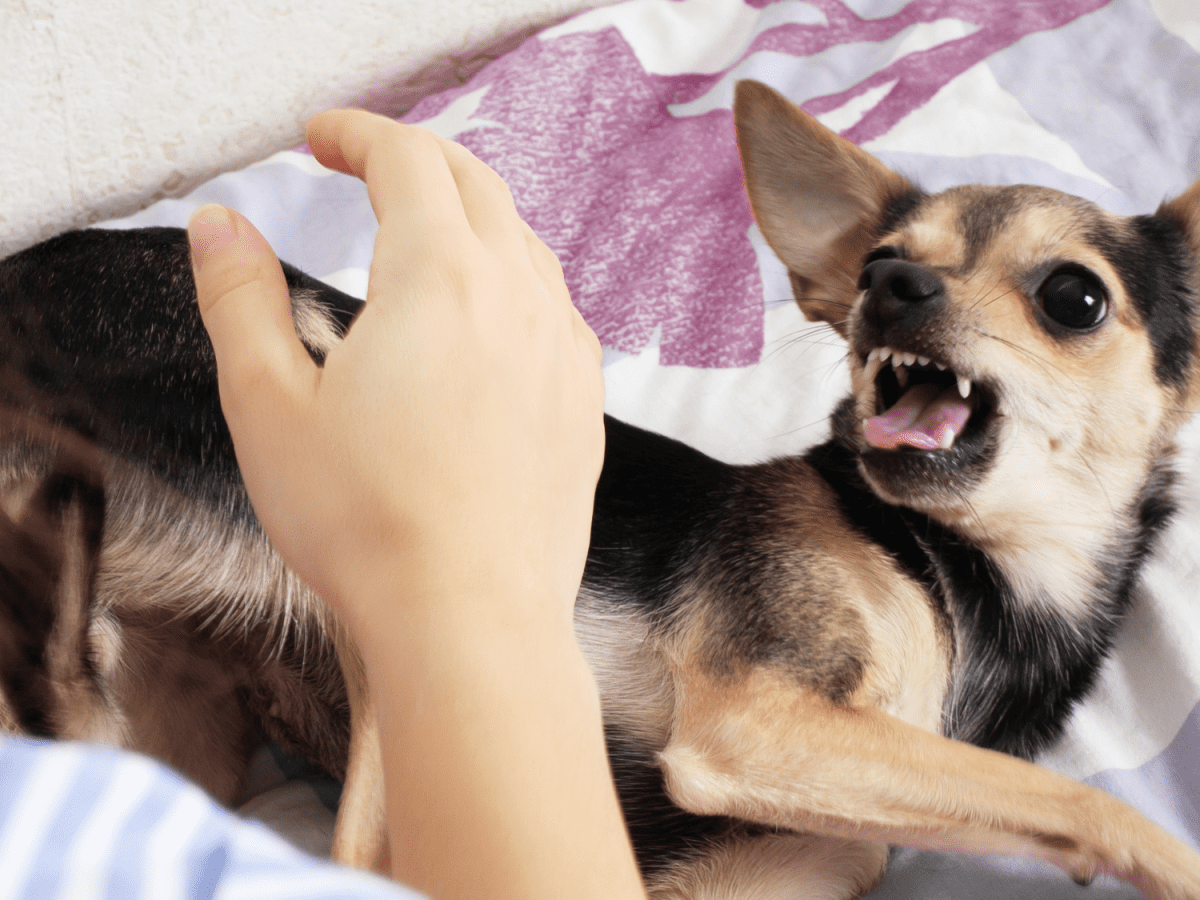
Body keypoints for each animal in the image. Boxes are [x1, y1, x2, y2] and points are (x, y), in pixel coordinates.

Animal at [0, 81, 1200, 897]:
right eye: (876, 265)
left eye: (1074, 298)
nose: (892, 287)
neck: (961, 578)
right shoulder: (751, 722)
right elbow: (1067, 796)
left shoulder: (781, 852)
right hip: (326, 430)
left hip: (190, 720)